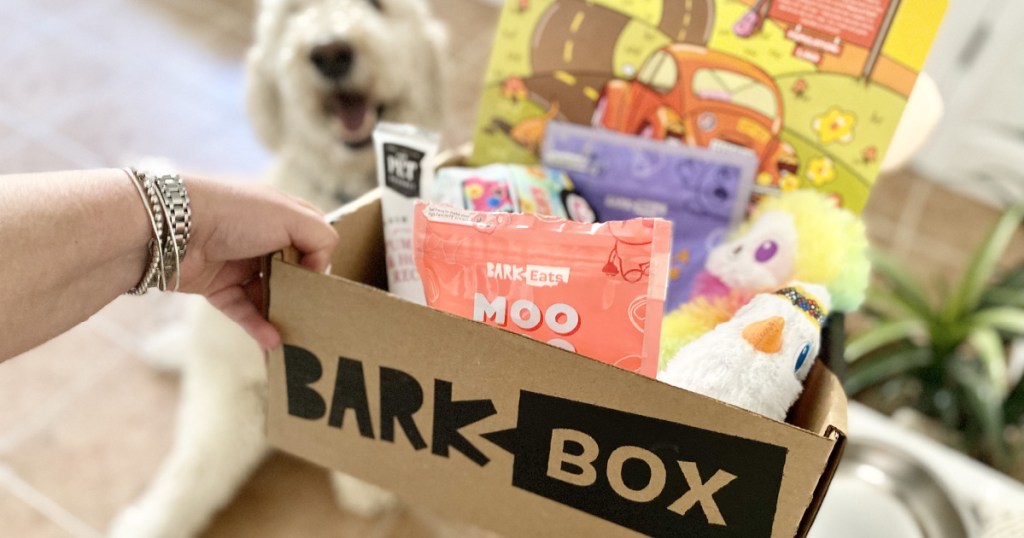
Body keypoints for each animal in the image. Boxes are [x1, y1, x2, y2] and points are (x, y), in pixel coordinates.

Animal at [108, 0, 448, 532]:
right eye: (296, 14)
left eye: (378, 7)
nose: (330, 51)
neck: (347, 186)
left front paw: (365, 480)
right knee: (195, 472)